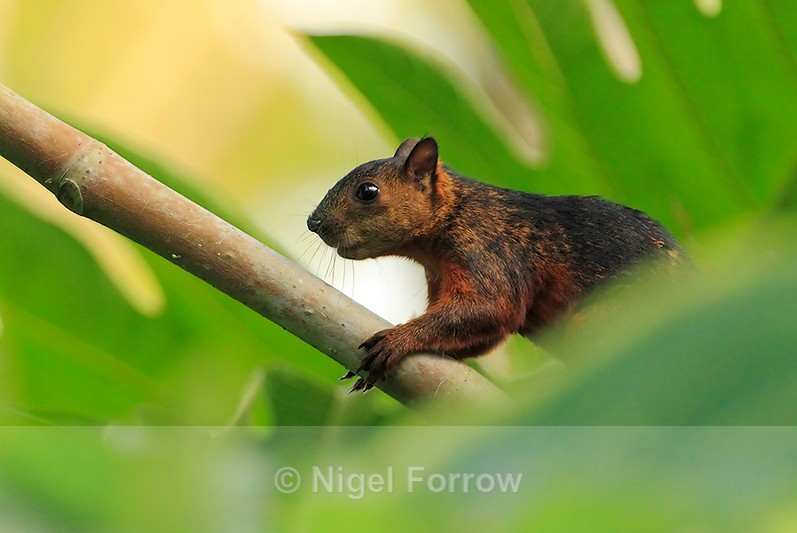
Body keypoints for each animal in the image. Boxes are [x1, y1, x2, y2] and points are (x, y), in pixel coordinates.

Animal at [307, 137, 684, 392]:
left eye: (367, 191)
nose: (313, 222)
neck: (457, 213)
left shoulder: (490, 253)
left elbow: (492, 307)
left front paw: (397, 339)